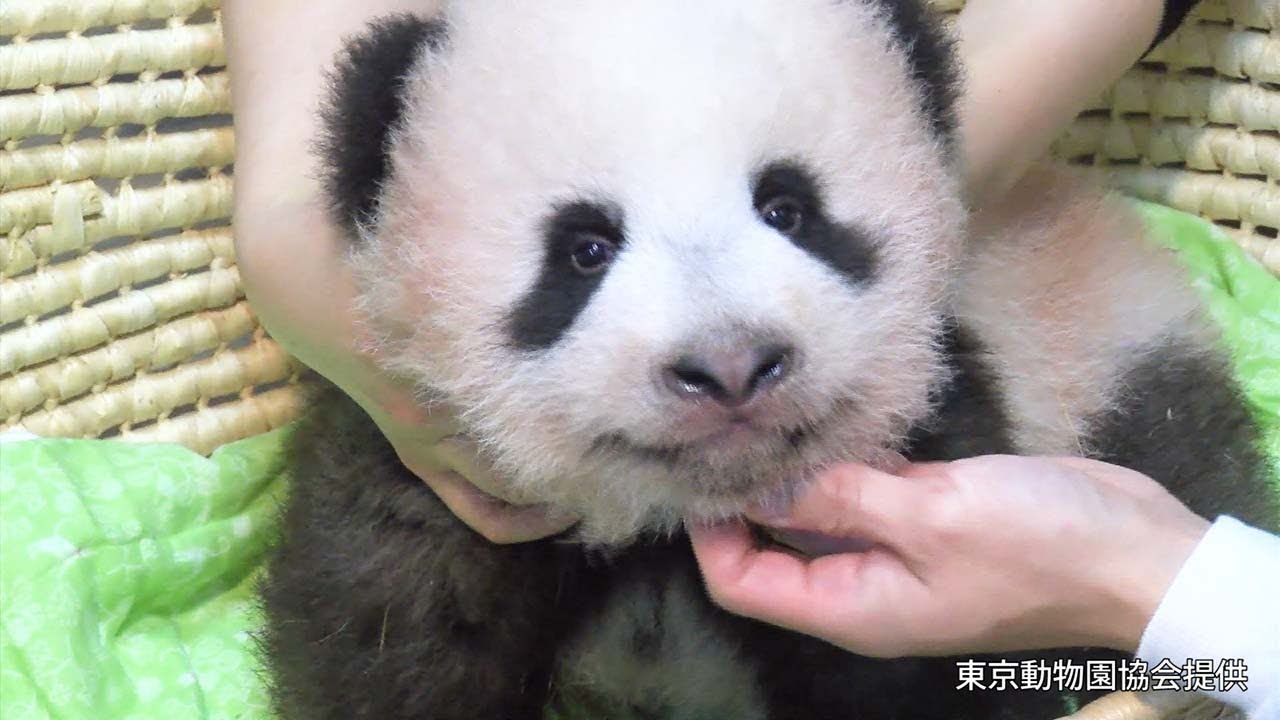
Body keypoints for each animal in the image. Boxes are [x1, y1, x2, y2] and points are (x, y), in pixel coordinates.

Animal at [258, 2, 1277, 719]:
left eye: (789, 207)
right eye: (584, 248)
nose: (731, 366)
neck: (665, 520)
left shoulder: (948, 409)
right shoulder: (434, 468)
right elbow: (393, 623)